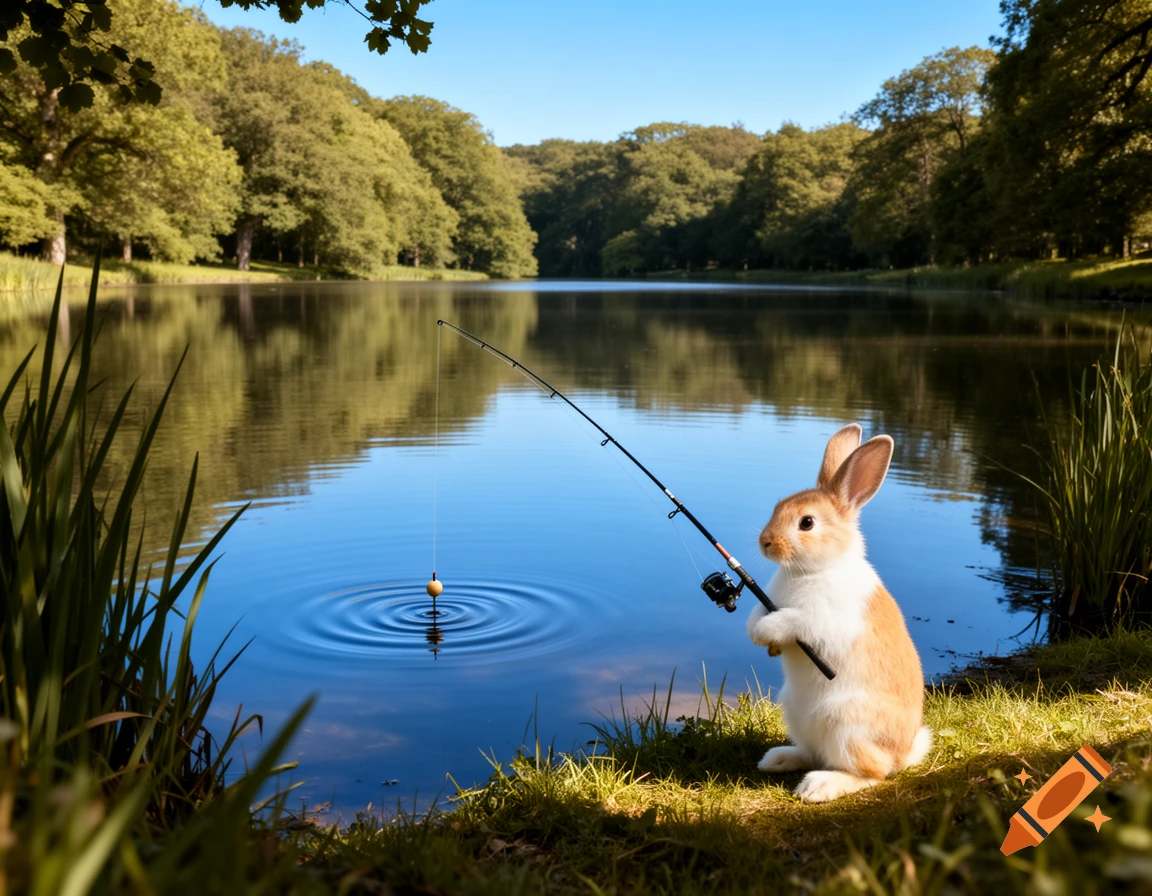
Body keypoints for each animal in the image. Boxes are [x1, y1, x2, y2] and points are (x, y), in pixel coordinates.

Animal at [746, 423, 932, 803]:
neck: (812, 570)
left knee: (872, 772)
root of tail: (902, 753)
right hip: (795, 711)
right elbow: (757, 613)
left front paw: (764, 633)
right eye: (777, 506)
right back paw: (776, 759)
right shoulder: (768, 600)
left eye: (807, 523)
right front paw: (758, 634)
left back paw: (819, 787)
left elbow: (792, 620)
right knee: (812, 752)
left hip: (847, 726)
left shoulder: (823, 623)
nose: (765, 542)